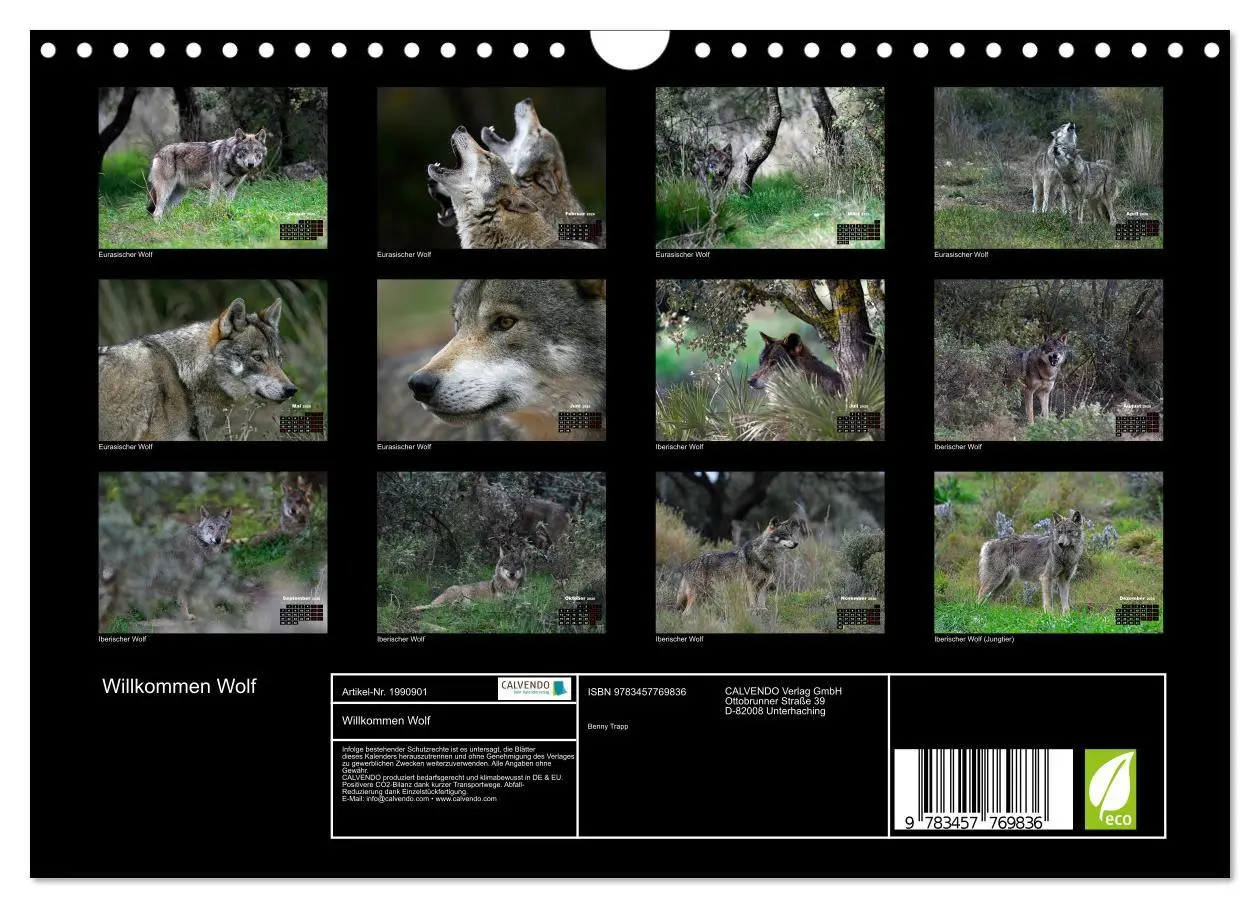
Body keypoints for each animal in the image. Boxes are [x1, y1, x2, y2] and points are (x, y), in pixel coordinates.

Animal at [674, 517, 802, 616]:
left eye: (791, 535)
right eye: (783, 535)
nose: (796, 543)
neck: (764, 556)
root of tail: (687, 564)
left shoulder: (764, 586)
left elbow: (762, 603)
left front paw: (763, 611)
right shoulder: (751, 584)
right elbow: (753, 603)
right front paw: (755, 612)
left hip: (704, 597)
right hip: (697, 596)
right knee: (685, 613)